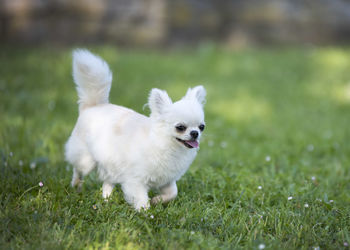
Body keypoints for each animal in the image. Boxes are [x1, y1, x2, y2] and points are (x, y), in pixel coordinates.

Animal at [65, 49, 205, 210]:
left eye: (201, 127)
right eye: (180, 127)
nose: (195, 133)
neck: (166, 146)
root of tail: (94, 105)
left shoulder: (166, 180)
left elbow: (172, 193)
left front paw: (156, 200)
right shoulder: (135, 180)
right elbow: (141, 201)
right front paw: (146, 212)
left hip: (111, 162)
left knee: (107, 181)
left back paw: (106, 199)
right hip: (86, 160)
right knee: (78, 169)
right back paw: (76, 185)